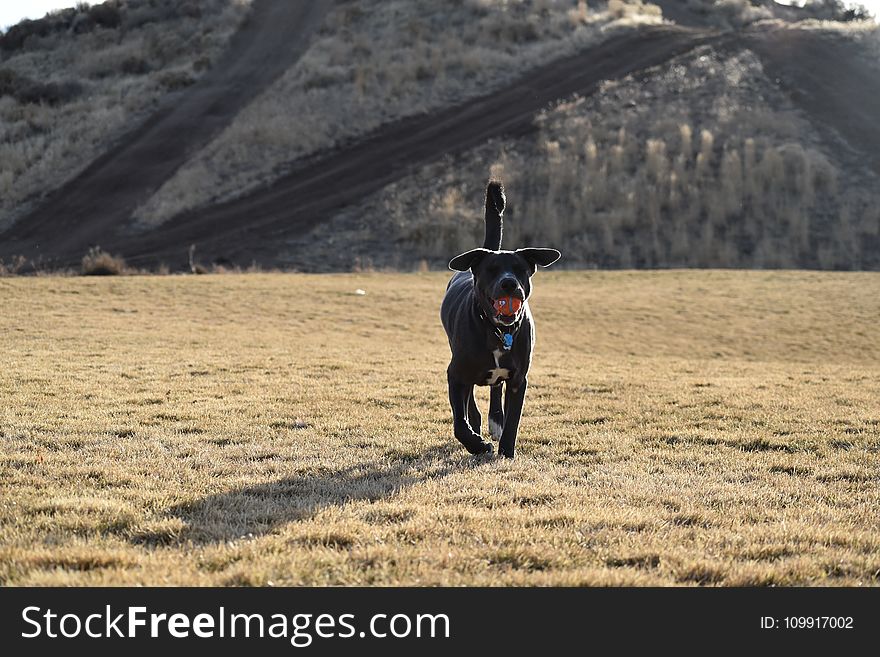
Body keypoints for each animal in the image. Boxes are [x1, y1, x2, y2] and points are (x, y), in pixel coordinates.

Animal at [440, 179, 564, 456]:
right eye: (491, 270)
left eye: (520, 270)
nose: (509, 283)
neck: (497, 330)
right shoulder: (455, 373)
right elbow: (460, 422)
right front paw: (477, 444)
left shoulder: (519, 380)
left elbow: (513, 420)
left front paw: (506, 451)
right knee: (470, 401)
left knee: (495, 391)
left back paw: (495, 421)